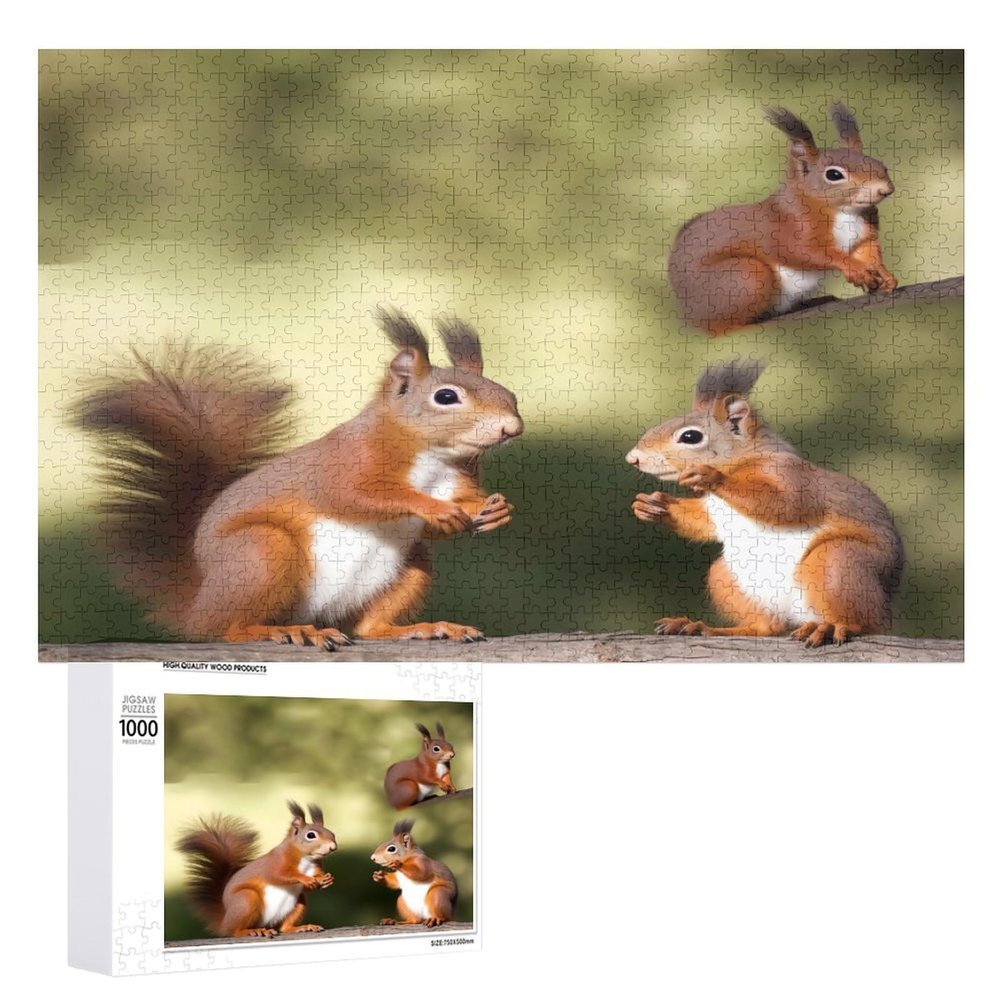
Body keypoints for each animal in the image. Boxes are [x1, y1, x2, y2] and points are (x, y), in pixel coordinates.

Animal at [72, 308, 523, 649]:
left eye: (509, 393)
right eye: (445, 397)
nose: (512, 428)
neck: (433, 458)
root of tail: (198, 603)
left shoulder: (456, 478)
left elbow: (450, 514)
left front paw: (495, 510)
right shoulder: (342, 464)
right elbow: (358, 495)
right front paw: (431, 508)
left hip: (408, 568)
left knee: (369, 627)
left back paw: (423, 628)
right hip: (260, 552)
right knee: (228, 628)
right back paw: (285, 631)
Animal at [176, 801, 336, 938]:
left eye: (332, 833)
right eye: (311, 835)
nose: (333, 847)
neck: (306, 859)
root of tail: (224, 922)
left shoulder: (315, 867)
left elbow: (309, 885)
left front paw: (326, 880)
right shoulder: (275, 863)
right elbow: (278, 875)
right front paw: (306, 879)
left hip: (297, 903)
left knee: (284, 927)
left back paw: (301, 927)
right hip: (246, 899)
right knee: (235, 930)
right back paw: (253, 931)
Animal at [627, 361, 905, 647]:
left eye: (690, 437)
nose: (632, 458)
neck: (742, 463)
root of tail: (799, 615)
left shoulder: (790, 475)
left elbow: (785, 503)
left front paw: (711, 476)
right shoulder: (715, 511)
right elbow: (700, 523)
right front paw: (651, 505)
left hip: (841, 562)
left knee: (864, 621)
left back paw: (832, 627)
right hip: (727, 577)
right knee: (766, 627)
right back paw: (702, 627)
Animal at [668, 103, 898, 335]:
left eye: (881, 165)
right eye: (834, 175)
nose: (885, 189)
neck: (846, 211)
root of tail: (689, 314)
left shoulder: (863, 233)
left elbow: (867, 252)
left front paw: (885, 275)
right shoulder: (787, 226)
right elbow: (804, 252)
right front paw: (854, 268)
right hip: (743, 276)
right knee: (720, 327)